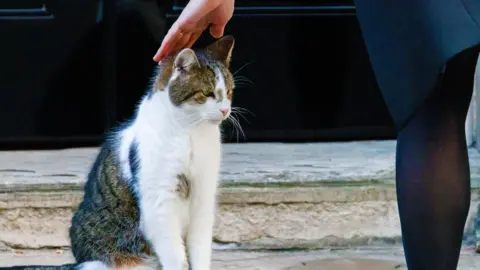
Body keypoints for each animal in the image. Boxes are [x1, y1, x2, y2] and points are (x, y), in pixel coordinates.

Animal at [0, 35, 235, 270]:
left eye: (229, 92)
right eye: (207, 94)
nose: (226, 110)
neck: (190, 134)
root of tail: (79, 262)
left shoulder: (203, 198)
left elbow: (200, 250)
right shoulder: (160, 204)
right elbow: (175, 257)